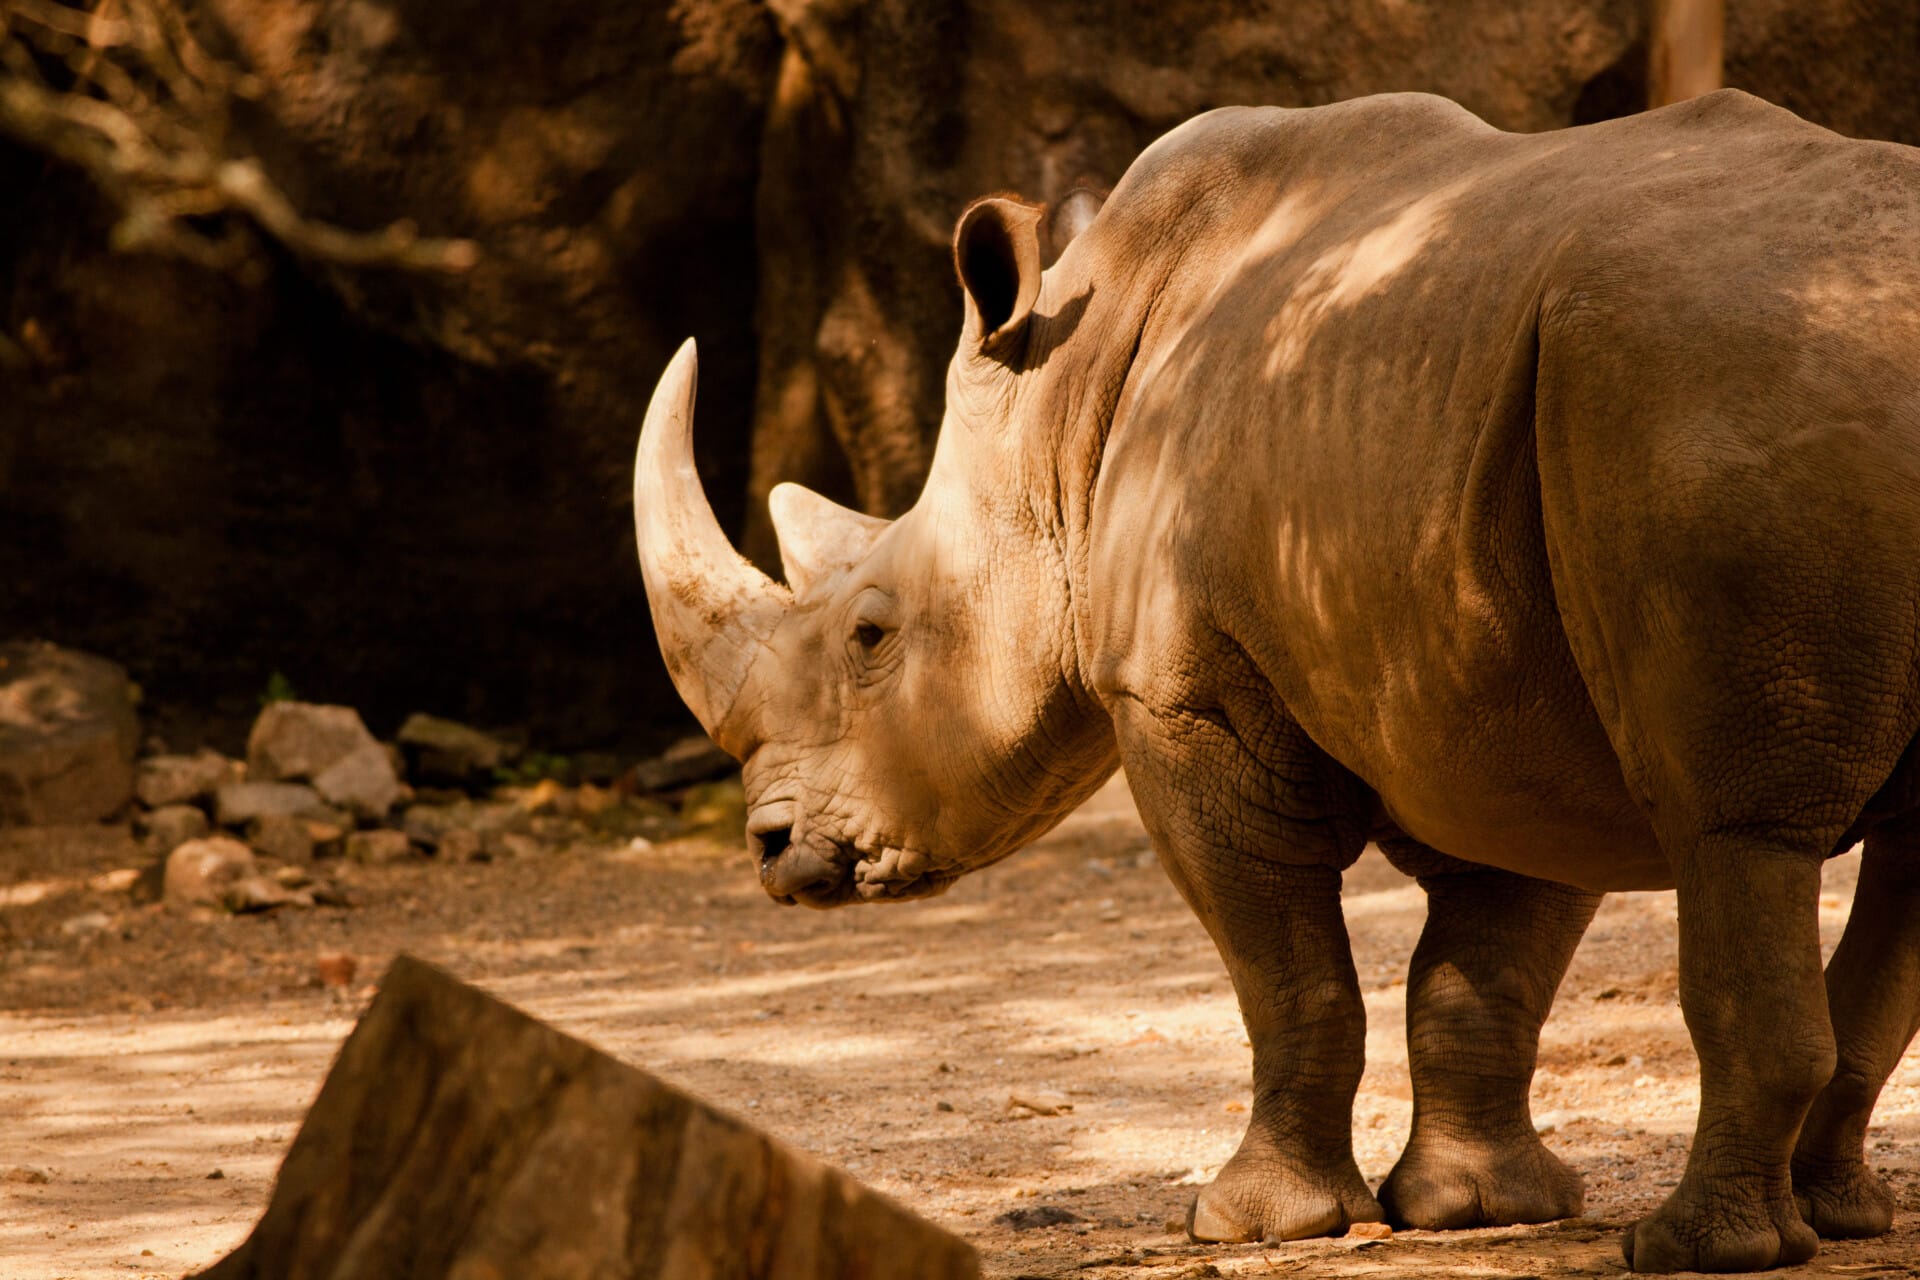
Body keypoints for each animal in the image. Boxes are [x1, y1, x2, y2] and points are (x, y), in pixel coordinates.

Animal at [634, 89, 1920, 1272]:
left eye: (870, 634)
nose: (771, 847)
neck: (1059, 419)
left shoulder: (1181, 699)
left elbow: (1287, 973)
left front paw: (1252, 1223)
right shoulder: (1505, 695)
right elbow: (1482, 969)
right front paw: (1479, 1208)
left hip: (1719, 388)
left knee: (1735, 832)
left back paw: (1698, 1246)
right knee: (1898, 856)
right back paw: (1837, 1217)